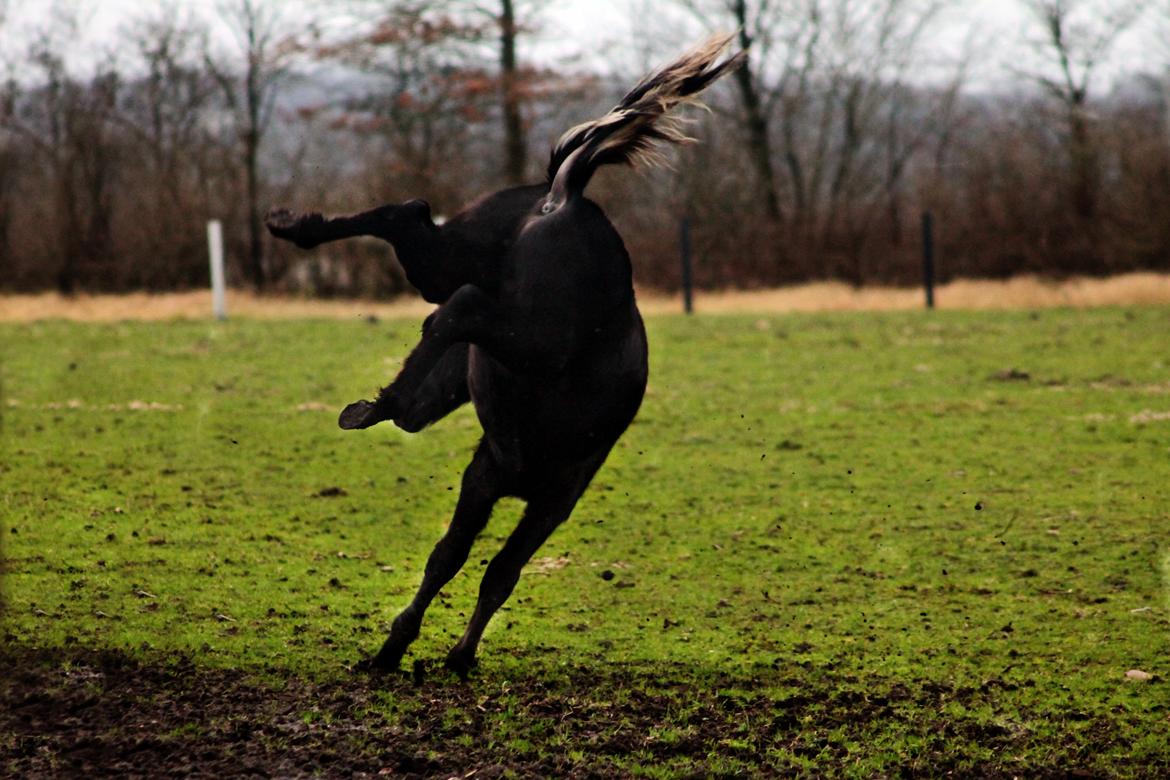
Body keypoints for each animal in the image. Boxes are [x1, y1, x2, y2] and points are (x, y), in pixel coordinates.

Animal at [266, 35, 739, 678]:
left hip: (461, 277)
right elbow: (454, 559)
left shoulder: (539, 499)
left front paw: (446, 654)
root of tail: (565, 198)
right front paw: (402, 647)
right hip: (513, 325)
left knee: (418, 236)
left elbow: (492, 570)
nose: (418, 406)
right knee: (441, 274)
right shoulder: (496, 480)